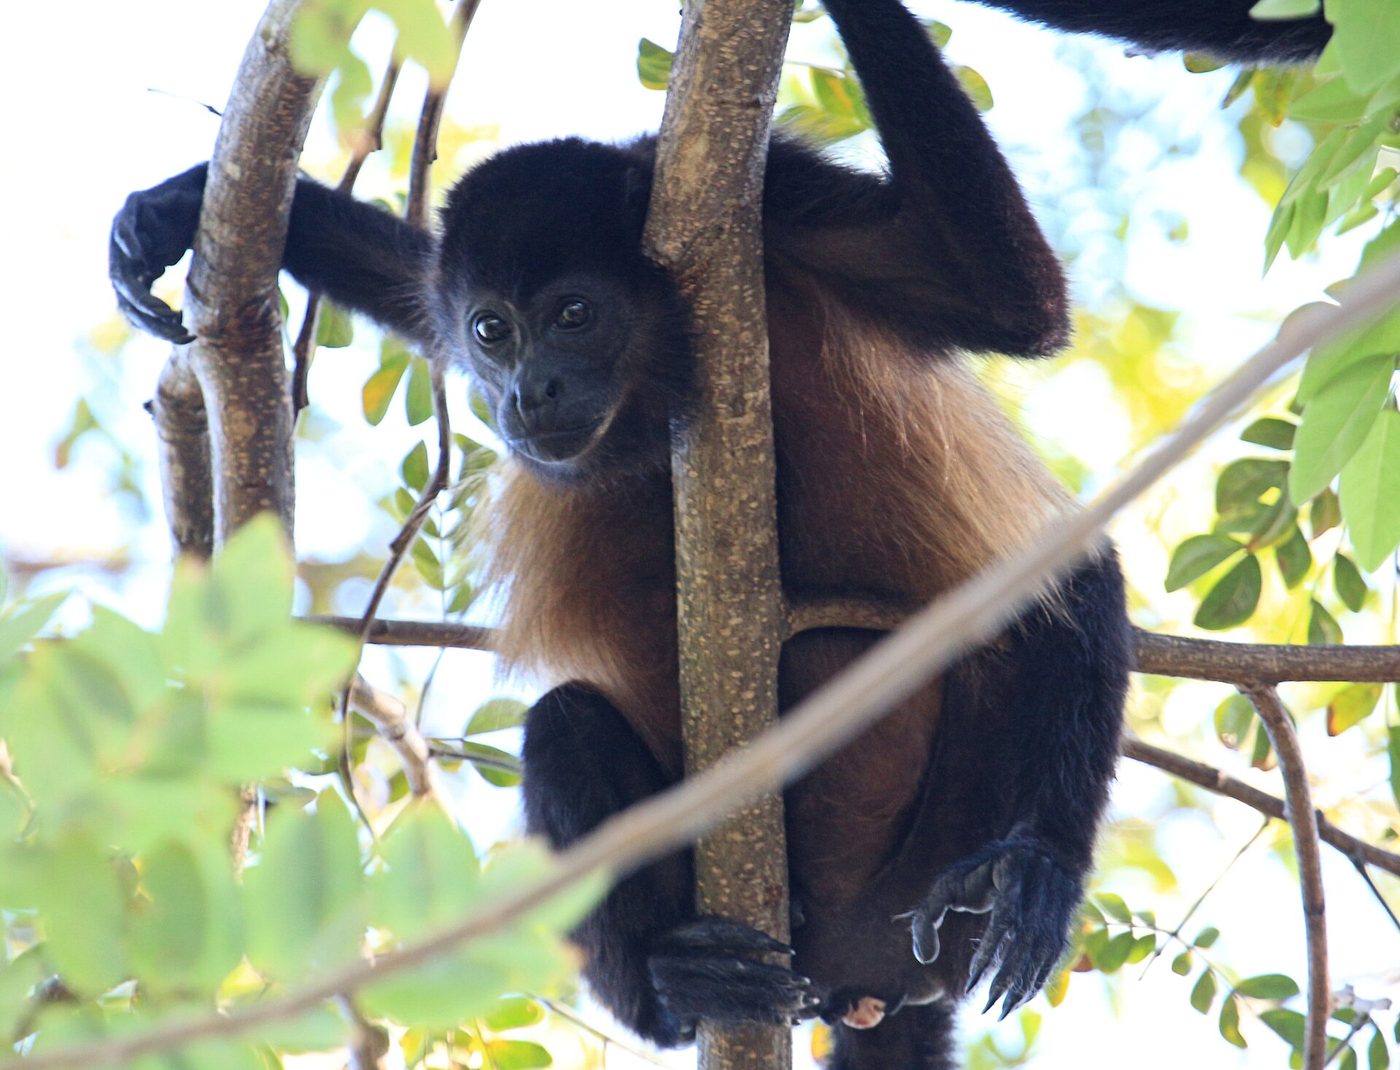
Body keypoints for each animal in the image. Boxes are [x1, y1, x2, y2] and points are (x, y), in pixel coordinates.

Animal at [109, 1, 1326, 1066]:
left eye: (573, 314)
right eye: (491, 330)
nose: (524, 391)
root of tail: (857, 972)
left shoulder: (779, 201)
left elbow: (1011, 301)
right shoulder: (462, 290)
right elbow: (407, 282)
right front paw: (178, 207)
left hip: (925, 880)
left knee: (1064, 587)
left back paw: (1021, 877)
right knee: (562, 722)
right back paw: (674, 989)